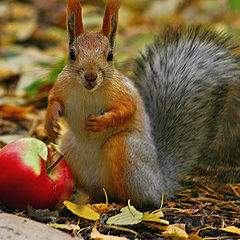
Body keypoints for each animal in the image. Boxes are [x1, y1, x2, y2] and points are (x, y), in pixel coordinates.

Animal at [45, 0, 240, 206]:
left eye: (110, 55)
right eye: (72, 54)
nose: (90, 76)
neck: (88, 91)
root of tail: (160, 181)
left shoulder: (123, 93)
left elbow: (127, 110)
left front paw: (100, 122)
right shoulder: (62, 86)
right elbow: (53, 99)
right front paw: (50, 122)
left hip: (125, 150)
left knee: (136, 196)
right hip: (68, 149)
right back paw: (83, 198)